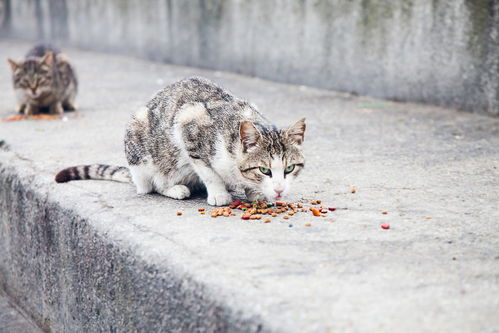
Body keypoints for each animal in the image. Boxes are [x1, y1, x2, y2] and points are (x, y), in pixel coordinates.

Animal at [54, 77, 304, 205]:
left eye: (289, 168)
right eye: (264, 170)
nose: (280, 189)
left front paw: (256, 193)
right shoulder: (188, 125)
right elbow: (208, 172)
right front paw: (219, 194)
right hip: (140, 146)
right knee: (151, 186)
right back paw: (175, 189)